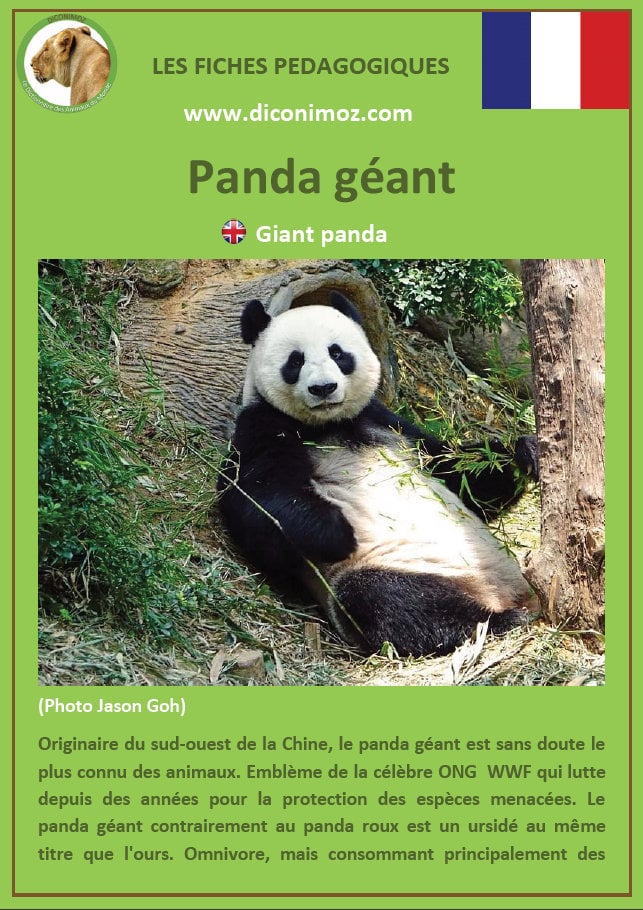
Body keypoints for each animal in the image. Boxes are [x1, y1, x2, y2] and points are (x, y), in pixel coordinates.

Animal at [218, 292, 539, 658]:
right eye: (295, 361)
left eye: (338, 353)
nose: (323, 388)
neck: (330, 424)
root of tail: (497, 591)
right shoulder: (262, 426)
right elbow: (255, 499)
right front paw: (337, 533)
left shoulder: (390, 425)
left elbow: (460, 476)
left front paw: (524, 453)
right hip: (398, 566)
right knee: (392, 601)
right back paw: (498, 621)